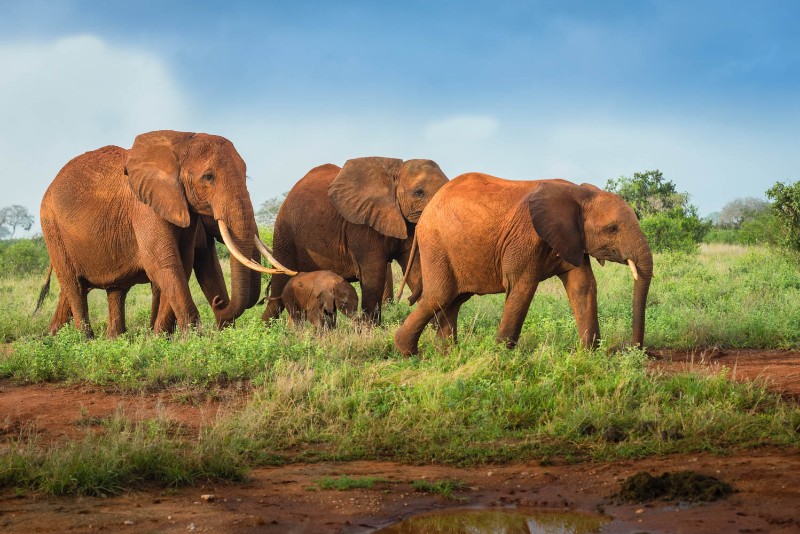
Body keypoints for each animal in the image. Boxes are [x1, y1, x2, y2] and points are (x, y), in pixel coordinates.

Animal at [38, 130, 292, 338]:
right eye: (208, 177)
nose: (219, 302)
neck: (179, 142)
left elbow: (188, 265)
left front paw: (160, 338)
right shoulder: (145, 208)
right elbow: (165, 265)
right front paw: (191, 341)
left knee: (114, 291)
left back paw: (105, 340)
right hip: (52, 228)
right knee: (74, 286)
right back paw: (82, 341)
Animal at [263, 157, 448, 325]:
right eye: (419, 192)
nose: (408, 299)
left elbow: (415, 268)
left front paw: (435, 329)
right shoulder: (362, 226)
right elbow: (373, 273)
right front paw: (369, 331)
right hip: (284, 233)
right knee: (279, 286)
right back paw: (266, 329)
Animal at [394, 174, 653, 355]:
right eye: (612, 229)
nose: (634, 350)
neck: (581, 194)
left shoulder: (572, 240)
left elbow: (583, 287)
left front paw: (589, 354)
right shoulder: (526, 238)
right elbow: (521, 288)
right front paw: (500, 355)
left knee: (454, 300)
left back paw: (447, 355)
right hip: (436, 245)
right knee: (440, 295)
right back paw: (408, 352)